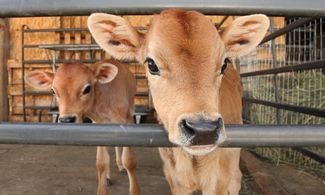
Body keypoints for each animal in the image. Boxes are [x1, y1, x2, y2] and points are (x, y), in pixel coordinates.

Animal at [25, 60, 139, 194]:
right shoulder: (99, 127)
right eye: (53, 91)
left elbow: (130, 161)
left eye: (87, 88)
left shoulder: (128, 122)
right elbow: (101, 162)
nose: (66, 120)